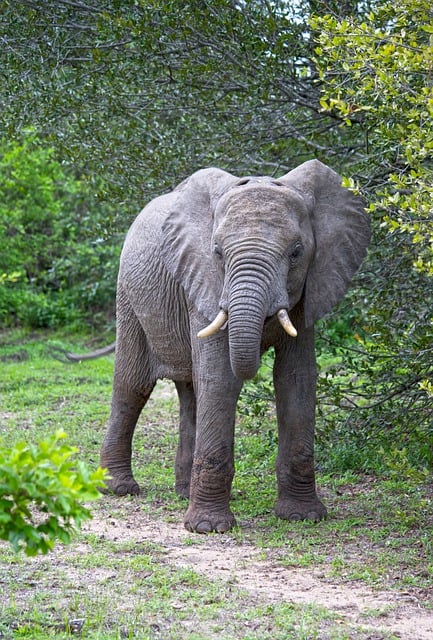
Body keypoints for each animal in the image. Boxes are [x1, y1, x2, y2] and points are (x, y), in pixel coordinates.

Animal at [94, 161, 368, 536]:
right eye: (217, 252)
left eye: (296, 252)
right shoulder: (202, 279)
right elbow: (221, 377)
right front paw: (208, 528)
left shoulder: (309, 290)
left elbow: (295, 379)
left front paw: (302, 516)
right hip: (129, 295)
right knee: (133, 385)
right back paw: (119, 489)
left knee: (191, 392)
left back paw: (183, 493)